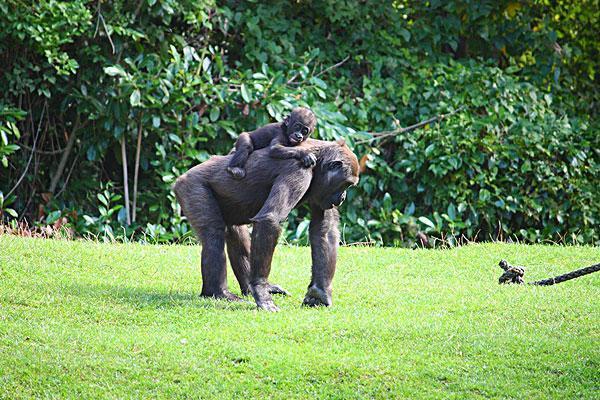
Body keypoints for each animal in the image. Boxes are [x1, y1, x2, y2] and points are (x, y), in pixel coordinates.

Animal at [171, 139, 358, 310]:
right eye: (346, 184)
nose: (342, 198)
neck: (317, 164)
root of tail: (180, 178)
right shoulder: (299, 171)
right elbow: (270, 220)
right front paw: (261, 291)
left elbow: (324, 229)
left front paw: (319, 294)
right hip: (190, 187)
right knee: (213, 235)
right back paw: (219, 292)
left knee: (236, 232)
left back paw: (248, 286)